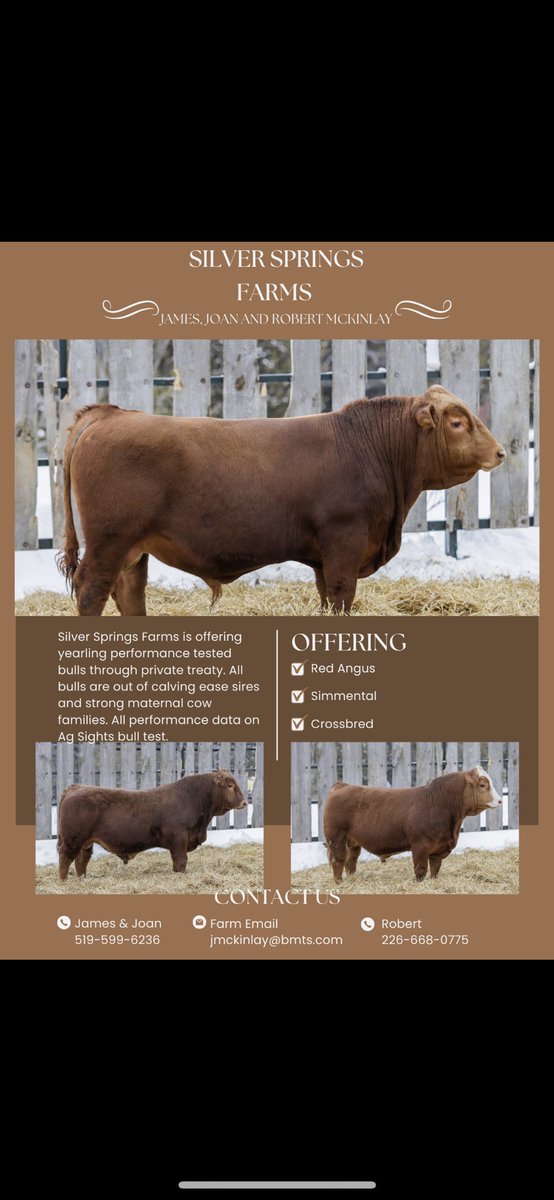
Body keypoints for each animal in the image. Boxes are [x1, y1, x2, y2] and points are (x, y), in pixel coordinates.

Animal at [57, 386, 506, 616]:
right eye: (457, 422)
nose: (500, 451)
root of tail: (109, 414)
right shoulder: (344, 543)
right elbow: (342, 595)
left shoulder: (324, 558)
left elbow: (327, 598)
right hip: (109, 541)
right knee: (92, 590)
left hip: (133, 549)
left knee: (129, 592)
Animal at [57, 769, 246, 880]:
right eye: (230, 785)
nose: (244, 802)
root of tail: (76, 787)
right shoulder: (179, 839)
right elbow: (181, 861)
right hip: (72, 840)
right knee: (65, 857)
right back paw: (64, 880)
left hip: (85, 842)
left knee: (81, 860)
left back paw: (82, 878)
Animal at [323, 766, 502, 884]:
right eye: (482, 785)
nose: (500, 800)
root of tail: (342, 785)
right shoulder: (420, 846)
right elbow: (421, 869)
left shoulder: (439, 849)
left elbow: (435, 869)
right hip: (336, 837)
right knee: (338, 860)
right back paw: (339, 883)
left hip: (353, 842)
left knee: (351, 861)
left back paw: (352, 878)